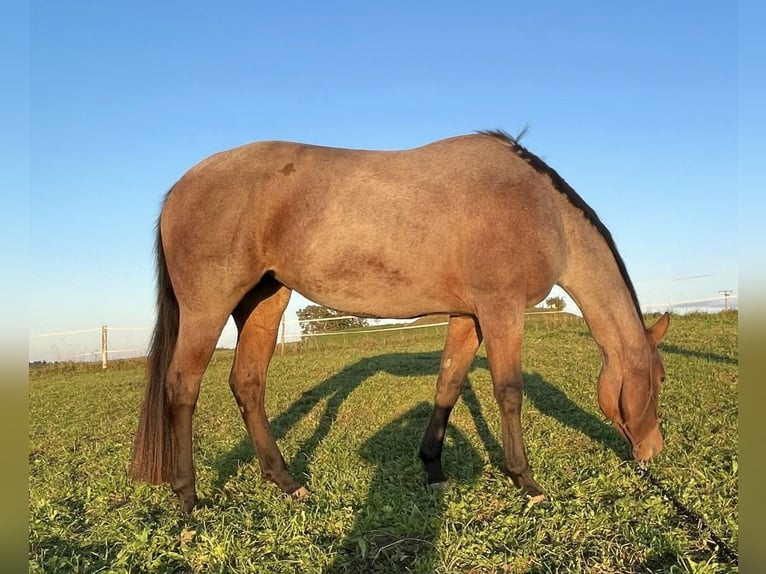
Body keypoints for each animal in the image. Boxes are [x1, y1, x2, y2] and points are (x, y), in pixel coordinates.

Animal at [131, 129, 670, 514]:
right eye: (661, 379)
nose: (654, 451)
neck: (541, 209)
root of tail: (181, 186)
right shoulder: (501, 310)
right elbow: (509, 392)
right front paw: (527, 481)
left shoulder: (467, 316)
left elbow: (448, 384)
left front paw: (433, 468)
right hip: (208, 307)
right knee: (181, 387)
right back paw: (188, 498)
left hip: (264, 301)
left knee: (247, 384)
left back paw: (287, 482)